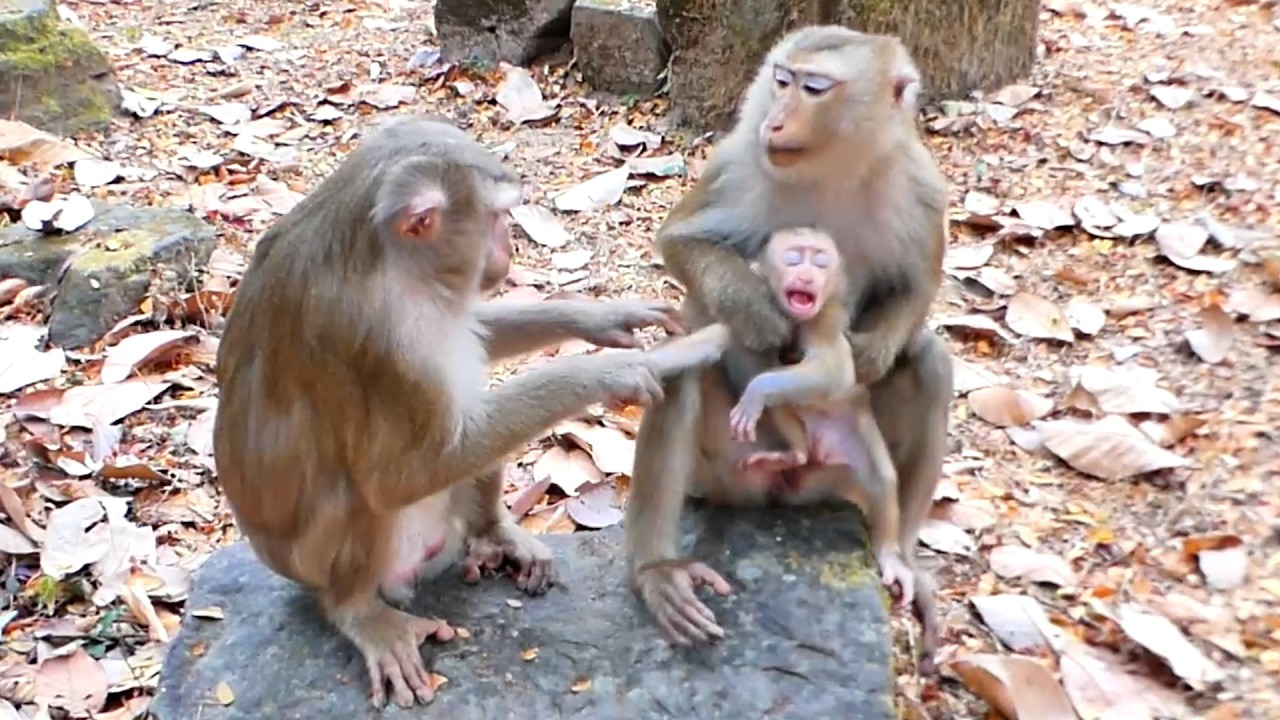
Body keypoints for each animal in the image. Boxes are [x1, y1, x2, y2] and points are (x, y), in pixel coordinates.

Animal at [213, 116, 723, 709]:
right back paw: (357, 609)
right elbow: (400, 474)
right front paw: (615, 370)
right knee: (366, 491)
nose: (510, 248)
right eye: (498, 218)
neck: (386, 257)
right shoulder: (381, 333)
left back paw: (491, 532)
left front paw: (602, 317)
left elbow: (473, 336)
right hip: (321, 564)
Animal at [623, 26, 953, 673]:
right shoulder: (736, 166)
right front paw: (757, 312)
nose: (774, 119)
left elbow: (919, 284)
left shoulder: (921, 186)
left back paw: (900, 553)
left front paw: (872, 351)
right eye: (780, 80)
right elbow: (682, 241)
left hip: (840, 476)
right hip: (726, 472)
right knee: (686, 358)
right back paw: (659, 571)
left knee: (930, 360)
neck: (832, 169)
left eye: (814, 88)